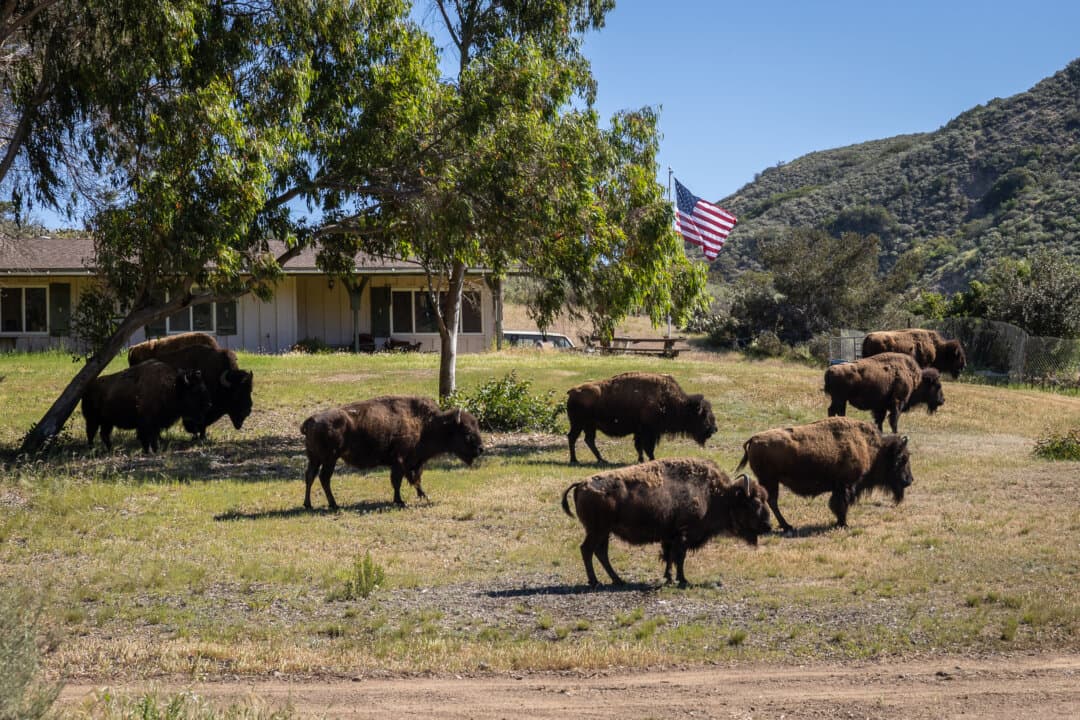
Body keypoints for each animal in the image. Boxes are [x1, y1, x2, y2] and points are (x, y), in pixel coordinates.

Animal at [82, 360, 212, 452]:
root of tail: (88, 388)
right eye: (195, 390)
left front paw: (155, 449)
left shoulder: (156, 424)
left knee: (104, 434)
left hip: (107, 422)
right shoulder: (146, 423)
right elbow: (146, 437)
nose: (208, 405)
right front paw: (148, 451)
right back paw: (92, 449)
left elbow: (153, 437)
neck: (172, 387)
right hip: (93, 419)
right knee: (91, 433)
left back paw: (110, 449)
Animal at [300, 395, 484, 509]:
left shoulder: (414, 462)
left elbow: (415, 479)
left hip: (315, 458)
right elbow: (399, 481)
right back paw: (333, 504)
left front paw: (422, 496)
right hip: (330, 459)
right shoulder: (400, 461)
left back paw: (308, 504)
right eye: (467, 432)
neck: (427, 424)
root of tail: (311, 419)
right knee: (324, 478)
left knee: (310, 476)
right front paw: (400, 501)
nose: (481, 449)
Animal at [561, 458, 771, 587]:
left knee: (600, 552)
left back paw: (618, 580)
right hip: (597, 530)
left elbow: (670, 557)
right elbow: (679, 557)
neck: (716, 495)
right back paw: (595, 582)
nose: (768, 526)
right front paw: (682, 579)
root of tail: (581, 484)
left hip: (604, 532)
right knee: (588, 550)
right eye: (754, 503)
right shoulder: (683, 535)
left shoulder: (670, 536)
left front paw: (669, 577)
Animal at [566, 372, 717, 464]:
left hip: (588, 426)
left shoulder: (640, 432)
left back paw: (601, 460)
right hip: (579, 424)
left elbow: (639, 446)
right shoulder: (648, 432)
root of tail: (573, 391)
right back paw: (575, 460)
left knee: (588, 440)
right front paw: (652, 459)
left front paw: (641, 460)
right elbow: (648, 447)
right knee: (573, 438)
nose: (714, 429)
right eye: (704, 415)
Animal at [735, 417, 914, 534]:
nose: (909, 480)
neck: (871, 447)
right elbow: (840, 504)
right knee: (772, 501)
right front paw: (843, 524)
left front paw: (841, 523)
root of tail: (754, 438)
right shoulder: (846, 486)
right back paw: (787, 526)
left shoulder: (840, 487)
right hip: (770, 480)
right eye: (902, 458)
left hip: (770, 481)